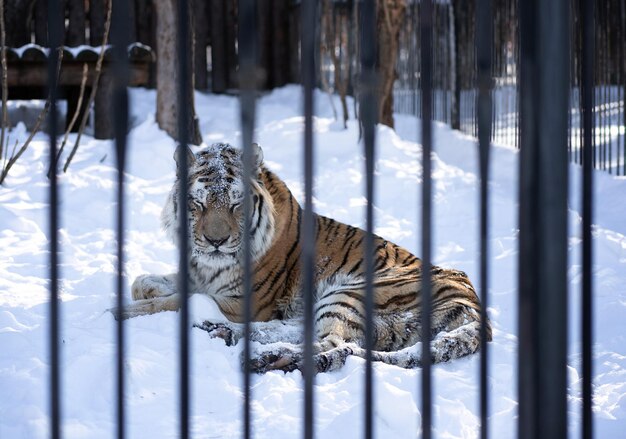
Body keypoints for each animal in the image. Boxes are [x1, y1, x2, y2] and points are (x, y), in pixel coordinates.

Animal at [114, 143, 490, 372]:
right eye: (199, 203)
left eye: (236, 204)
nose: (215, 241)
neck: (208, 264)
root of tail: (476, 307)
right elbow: (147, 283)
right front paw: (144, 289)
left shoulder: (241, 301)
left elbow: (172, 302)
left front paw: (117, 312)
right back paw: (221, 332)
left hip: (349, 292)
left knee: (334, 344)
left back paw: (267, 359)